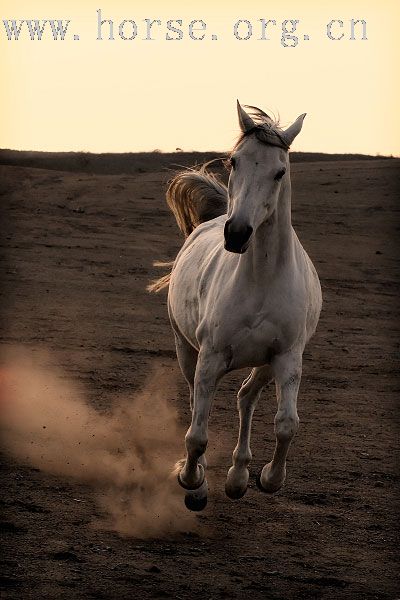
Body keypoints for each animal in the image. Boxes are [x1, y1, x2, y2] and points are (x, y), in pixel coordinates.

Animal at [150, 101, 322, 508]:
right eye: (234, 162)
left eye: (279, 171)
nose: (238, 233)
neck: (261, 279)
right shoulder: (211, 357)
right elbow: (197, 433)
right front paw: (193, 483)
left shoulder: (287, 357)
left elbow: (286, 425)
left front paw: (269, 478)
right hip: (186, 350)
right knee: (200, 406)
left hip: (265, 364)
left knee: (246, 397)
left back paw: (239, 476)